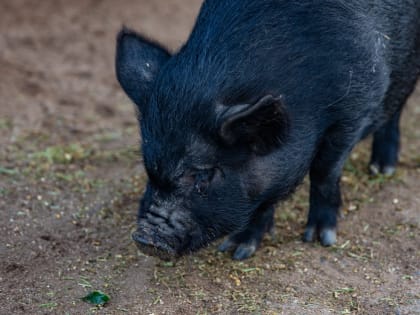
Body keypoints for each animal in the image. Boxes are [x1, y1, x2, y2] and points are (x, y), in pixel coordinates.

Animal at [115, 0, 420, 260]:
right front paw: (236, 251)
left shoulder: (356, 107)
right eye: (150, 168)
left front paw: (319, 239)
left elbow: (324, 172)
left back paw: (382, 169)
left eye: (203, 174)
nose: (145, 240)